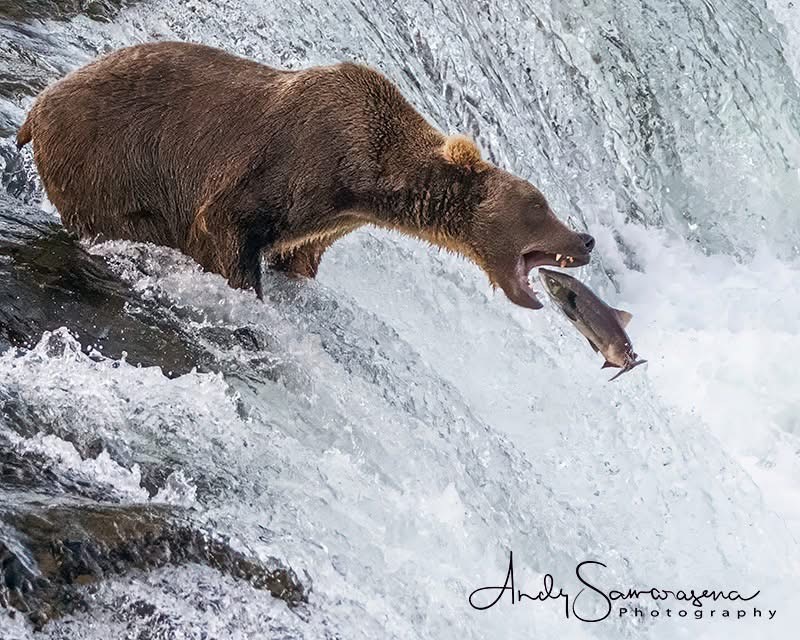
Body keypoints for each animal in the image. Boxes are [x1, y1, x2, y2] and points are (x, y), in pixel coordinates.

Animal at [16, 41, 594, 309]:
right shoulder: (287, 164)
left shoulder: (324, 218)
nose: (585, 239)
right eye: (539, 205)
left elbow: (297, 253)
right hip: (108, 161)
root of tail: (36, 106)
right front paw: (247, 294)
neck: (365, 179)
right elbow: (224, 229)